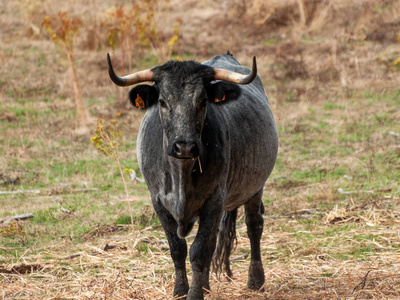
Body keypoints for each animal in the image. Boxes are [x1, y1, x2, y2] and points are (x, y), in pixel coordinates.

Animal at [108, 52, 280, 298]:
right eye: (162, 101)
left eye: (202, 101)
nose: (185, 147)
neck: (180, 174)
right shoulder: (158, 201)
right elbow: (178, 248)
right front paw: (181, 290)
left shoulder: (214, 199)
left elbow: (199, 250)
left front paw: (195, 294)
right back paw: (207, 285)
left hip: (256, 187)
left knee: (253, 226)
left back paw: (256, 280)